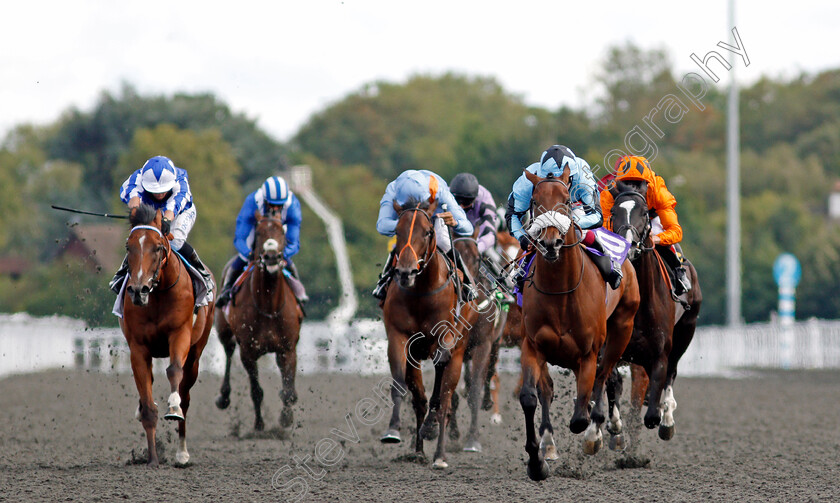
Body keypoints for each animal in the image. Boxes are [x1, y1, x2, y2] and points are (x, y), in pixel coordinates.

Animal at [120, 206, 213, 468]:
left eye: (158, 247)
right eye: (129, 246)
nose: (138, 290)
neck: (159, 293)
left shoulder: (179, 334)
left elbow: (173, 371)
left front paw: (173, 407)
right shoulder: (138, 348)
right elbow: (148, 406)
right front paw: (152, 459)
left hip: (195, 355)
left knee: (186, 395)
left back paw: (182, 453)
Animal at [213, 207, 302, 432]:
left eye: (282, 233)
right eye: (260, 232)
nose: (271, 256)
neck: (268, 306)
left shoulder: (288, 348)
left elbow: (289, 392)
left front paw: (286, 419)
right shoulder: (248, 352)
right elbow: (256, 391)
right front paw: (259, 424)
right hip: (224, 331)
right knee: (228, 351)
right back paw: (223, 397)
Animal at [382, 196, 480, 468]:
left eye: (427, 232)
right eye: (397, 231)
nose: (405, 272)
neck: (422, 292)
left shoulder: (445, 338)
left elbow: (441, 383)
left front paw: (431, 427)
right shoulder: (398, 338)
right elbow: (400, 384)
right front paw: (393, 430)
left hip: (460, 350)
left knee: (445, 400)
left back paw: (439, 454)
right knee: (420, 400)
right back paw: (418, 451)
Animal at [516, 169, 640, 480]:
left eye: (565, 200)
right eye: (535, 201)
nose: (551, 243)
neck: (561, 290)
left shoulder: (588, 352)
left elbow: (581, 414)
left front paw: (593, 433)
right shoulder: (532, 346)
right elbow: (530, 397)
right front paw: (536, 462)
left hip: (621, 329)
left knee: (604, 374)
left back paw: (601, 432)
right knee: (551, 389)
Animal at [604, 180, 704, 444]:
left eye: (644, 213)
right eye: (614, 212)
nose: (628, 247)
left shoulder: (661, 351)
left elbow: (653, 408)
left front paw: (661, 415)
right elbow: (612, 381)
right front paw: (613, 426)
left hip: (686, 330)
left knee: (672, 371)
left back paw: (667, 417)